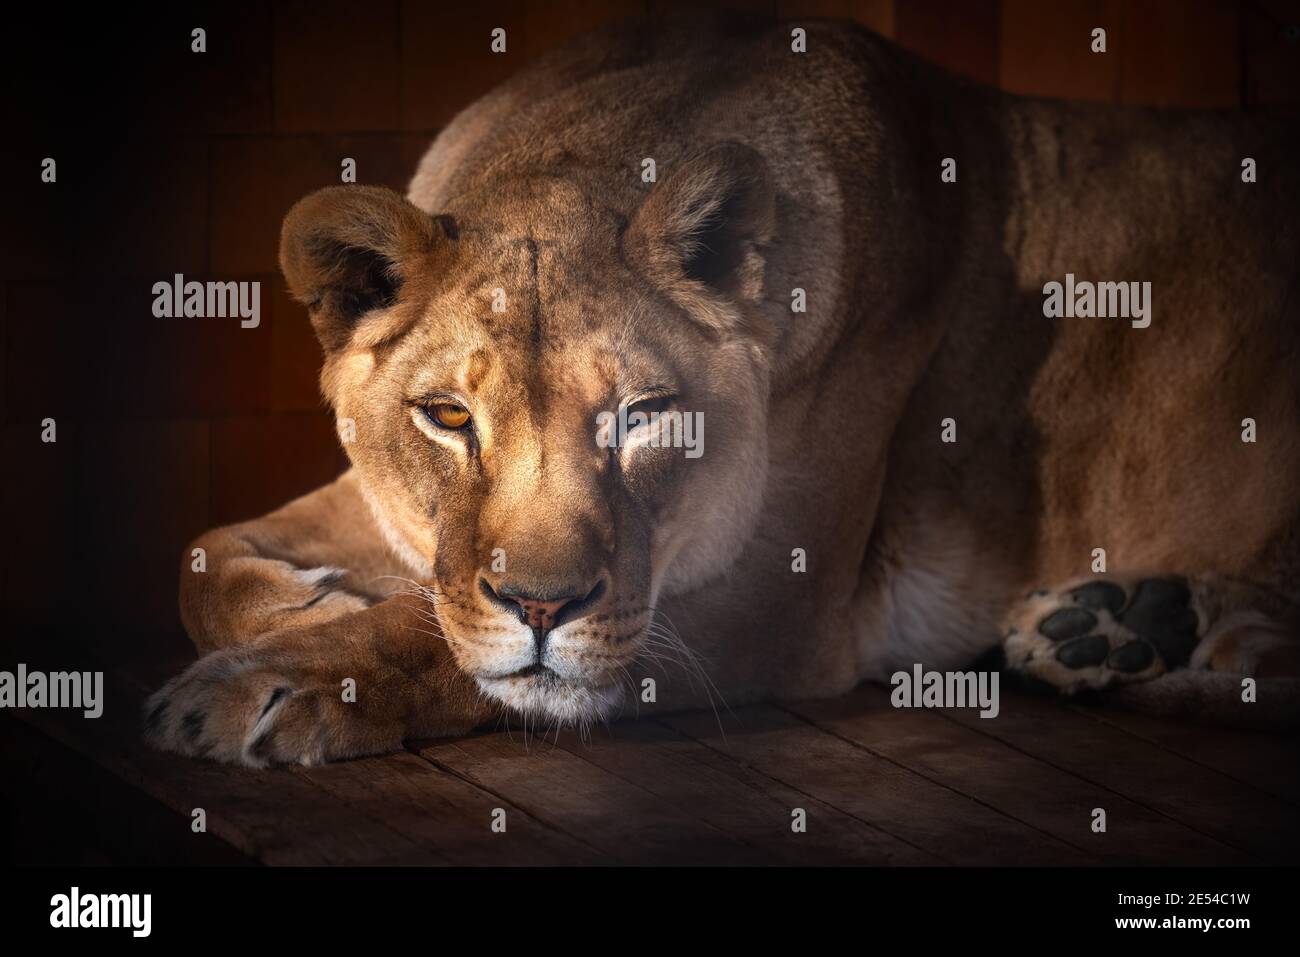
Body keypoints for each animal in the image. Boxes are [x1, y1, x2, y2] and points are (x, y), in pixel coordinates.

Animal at [144, 15, 1300, 766]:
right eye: (448, 418)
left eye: (643, 417)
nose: (542, 605)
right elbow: (203, 550)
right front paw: (308, 604)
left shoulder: (772, 602)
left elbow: (440, 642)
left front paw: (271, 682)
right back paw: (1124, 626)